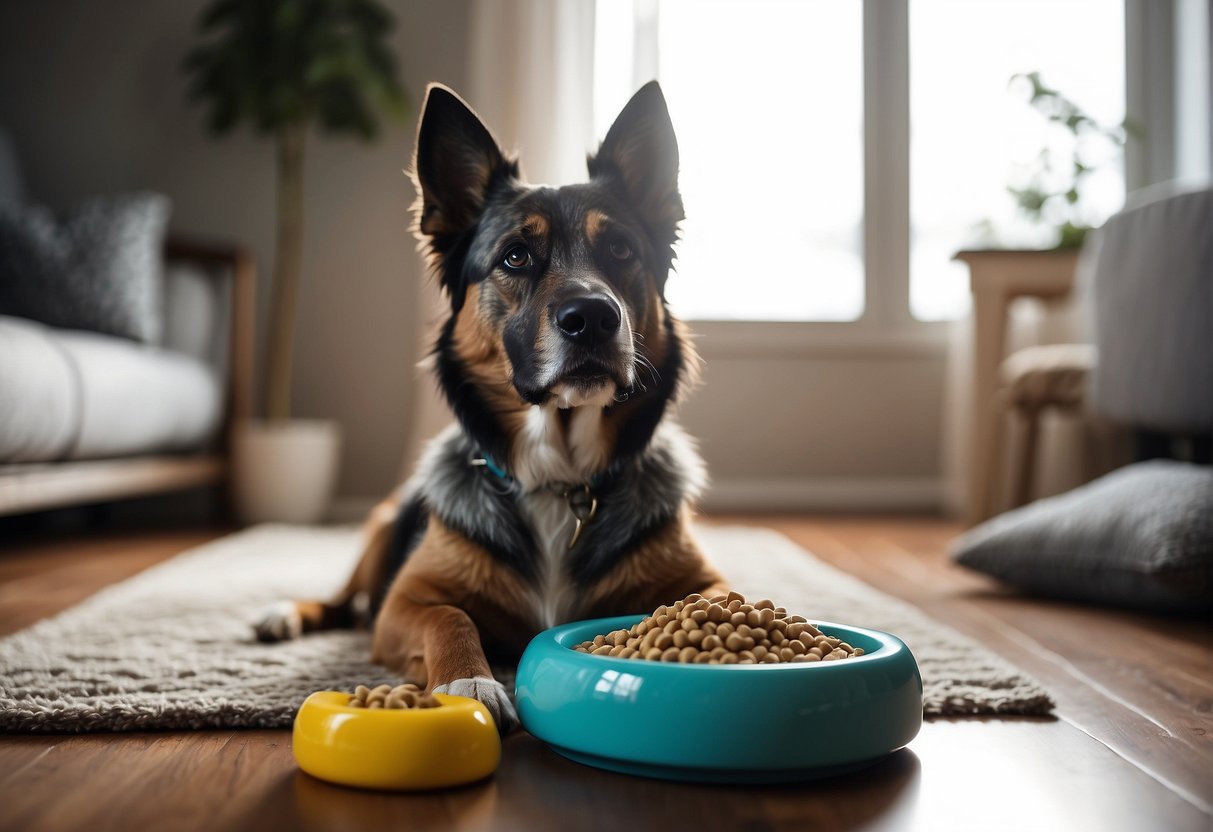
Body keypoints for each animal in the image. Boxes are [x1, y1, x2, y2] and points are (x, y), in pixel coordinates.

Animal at [254, 81, 722, 732]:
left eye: (621, 249)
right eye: (515, 256)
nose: (593, 317)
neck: (559, 478)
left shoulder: (707, 580)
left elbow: (713, 603)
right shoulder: (406, 600)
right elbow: (449, 615)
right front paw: (469, 681)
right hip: (380, 527)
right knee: (343, 601)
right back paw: (286, 613)